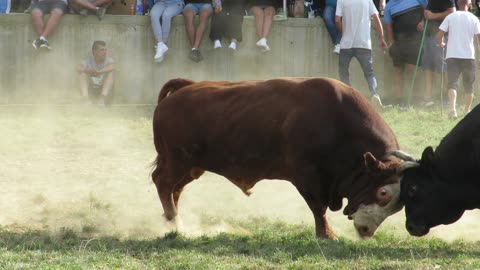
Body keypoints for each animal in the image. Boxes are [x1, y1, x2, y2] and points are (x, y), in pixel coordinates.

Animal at [153, 76, 404, 238]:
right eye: (382, 193)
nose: (366, 232)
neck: (337, 124)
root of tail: (183, 89)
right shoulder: (308, 178)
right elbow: (318, 208)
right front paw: (326, 234)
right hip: (177, 161)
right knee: (163, 182)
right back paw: (175, 224)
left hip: (192, 167)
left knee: (176, 189)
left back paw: (173, 221)